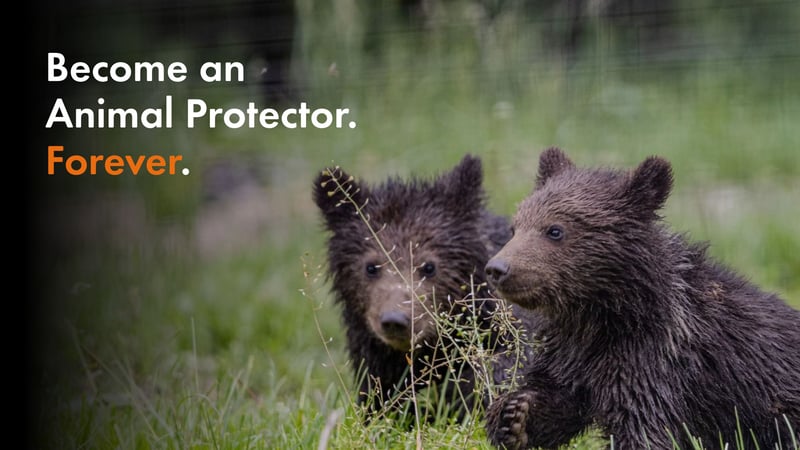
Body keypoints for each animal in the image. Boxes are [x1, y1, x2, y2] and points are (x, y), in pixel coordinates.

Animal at [483, 148, 800, 449]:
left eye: (555, 230)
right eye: (515, 227)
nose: (497, 268)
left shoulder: (653, 363)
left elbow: (643, 428)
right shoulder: (571, 355)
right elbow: (557, 398)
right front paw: (515, 416)